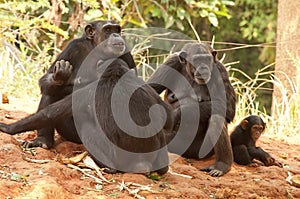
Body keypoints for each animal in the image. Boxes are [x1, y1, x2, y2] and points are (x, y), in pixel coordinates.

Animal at [0, 19, 135, 149]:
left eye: (116, 29)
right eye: (107, 30)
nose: (116, 34)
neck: (96, 49)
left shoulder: (126, 53)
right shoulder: (72, 47)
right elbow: (46, 78)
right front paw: (60, 75)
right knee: (50, 92)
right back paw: (42, 140)